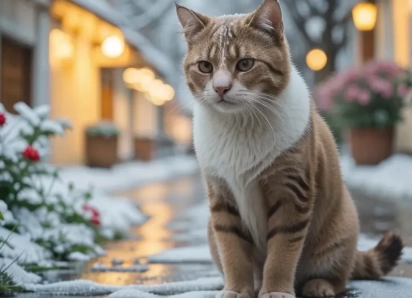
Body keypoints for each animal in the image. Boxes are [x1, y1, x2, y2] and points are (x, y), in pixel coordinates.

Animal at [175, 0, 404, 298]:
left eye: (245, 64)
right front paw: (236, 289)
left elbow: (281, 253)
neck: (239, 124)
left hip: (343, 226)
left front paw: (275, 290)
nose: (221, 88)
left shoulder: (291, 193)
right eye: (205, 66)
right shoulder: (222, 197)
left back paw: (319, 285)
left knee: (339, 274)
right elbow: (232, 250)